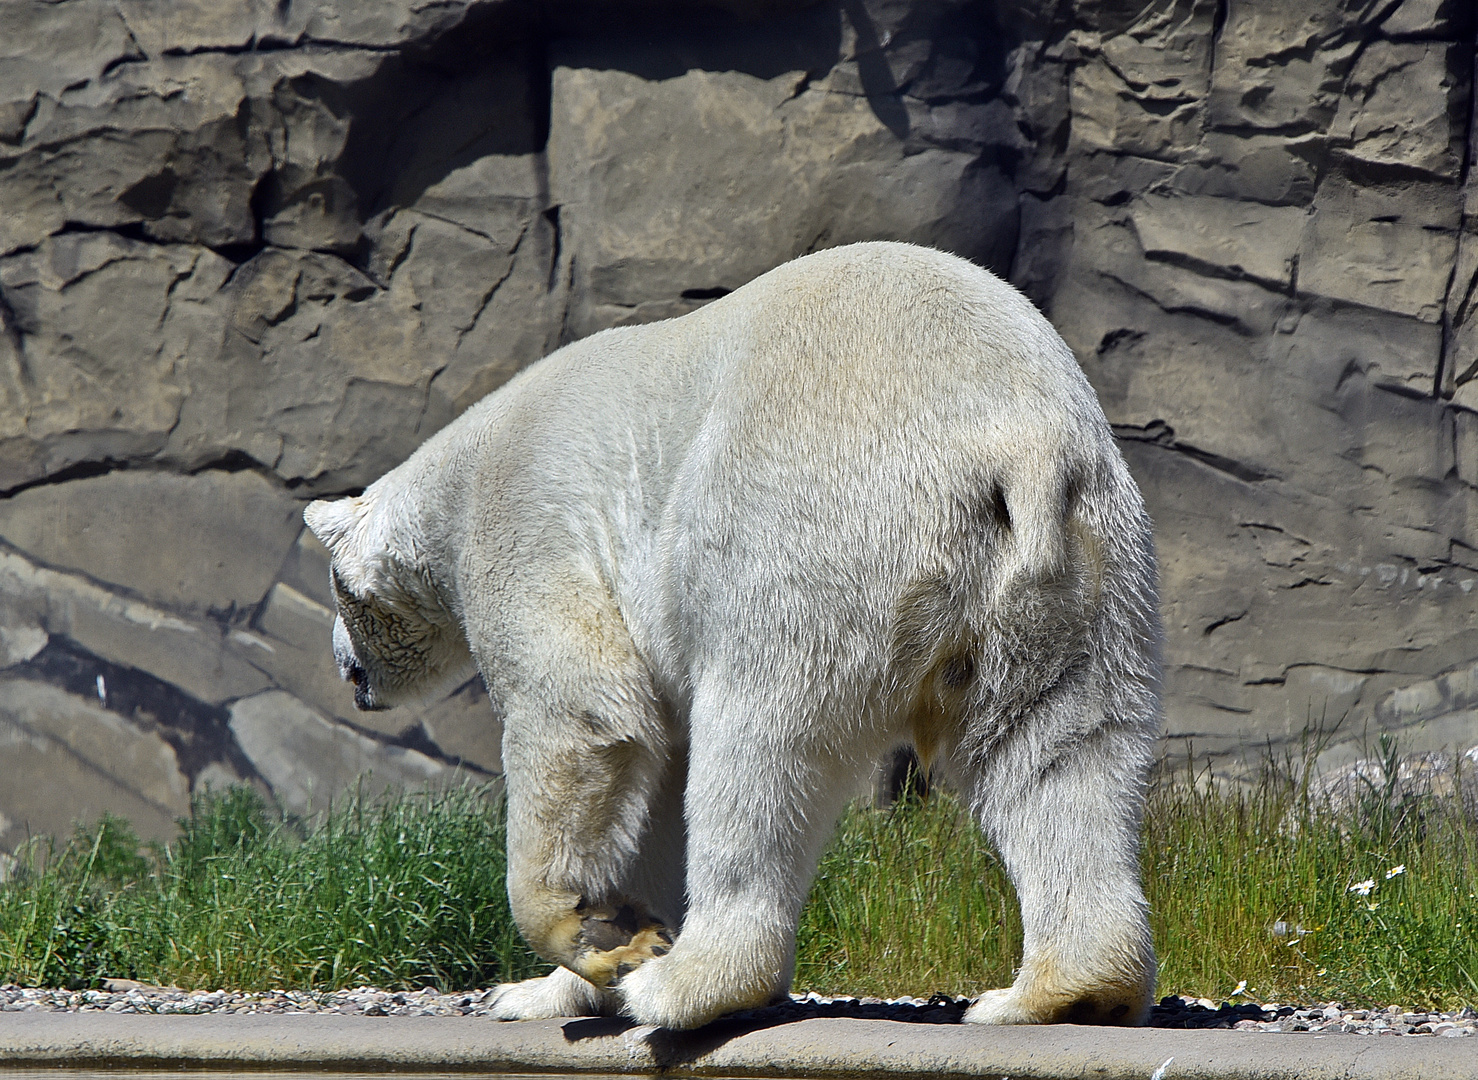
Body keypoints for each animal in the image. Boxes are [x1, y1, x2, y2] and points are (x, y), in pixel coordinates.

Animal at [305, 242, 1158, 1028]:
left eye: (339, 595)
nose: (347, 671)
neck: (459, 477)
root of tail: (1012, 441)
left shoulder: (523, 525)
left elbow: (580, 714)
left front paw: (588, 946)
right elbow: (651, 771)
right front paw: (576, 969)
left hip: (812, 529)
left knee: (759, 748)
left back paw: (688, 985)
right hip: (1075, 564)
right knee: (1057, 749)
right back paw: (1059, 992)